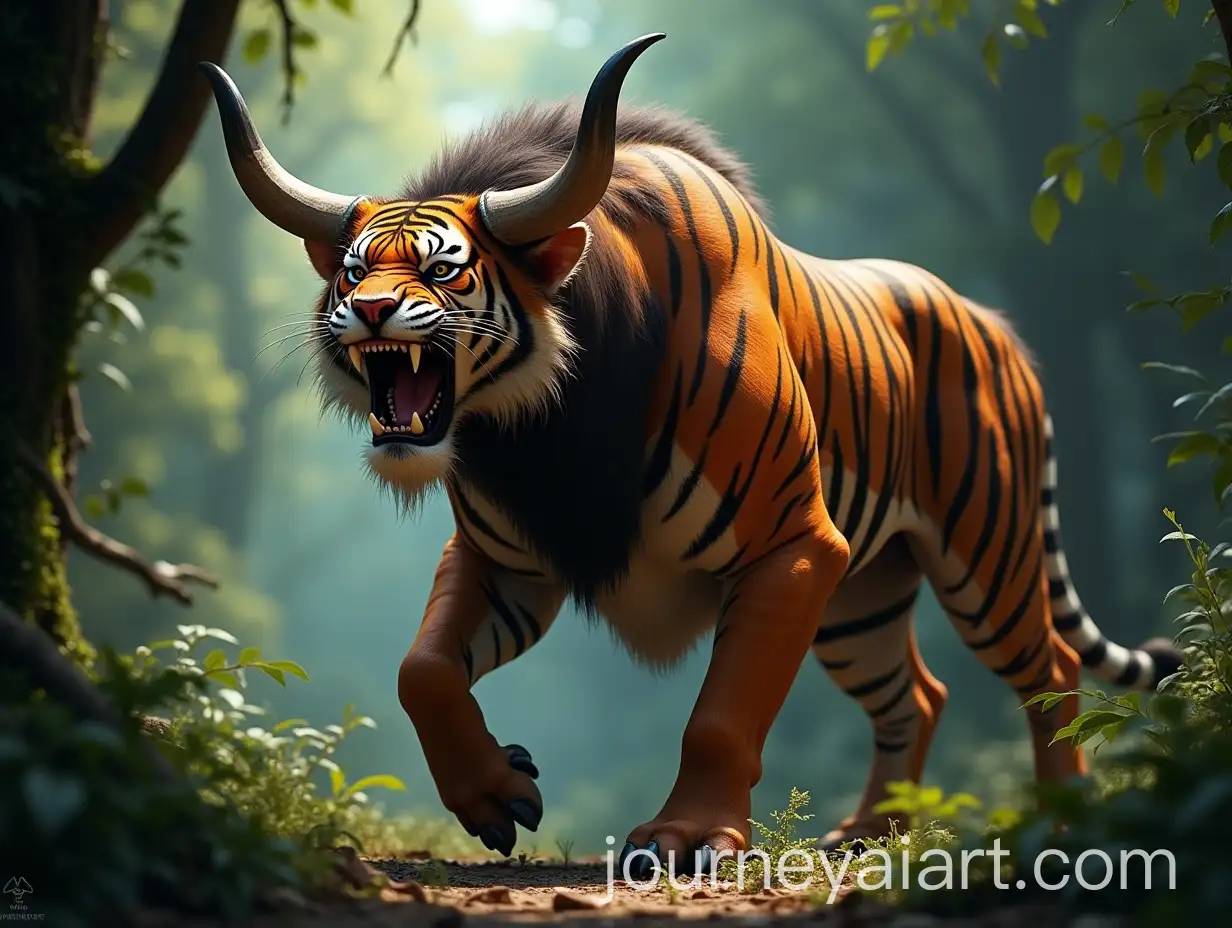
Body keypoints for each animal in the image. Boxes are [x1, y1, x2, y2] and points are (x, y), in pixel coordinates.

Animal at [200, 34, 1180, 876]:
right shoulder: (503, 559)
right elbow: (423, 670)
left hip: (986, 559)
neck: (547, 432)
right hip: (861, 601)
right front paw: (495, 792)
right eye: (352, 268)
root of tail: (998, 327)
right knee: (919, 695)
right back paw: (868, 838)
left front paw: (686, 841)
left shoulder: (793, 545)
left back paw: (1057, 827)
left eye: (443, 268)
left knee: (1050, 670)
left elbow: (720, 716)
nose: (365, 311)